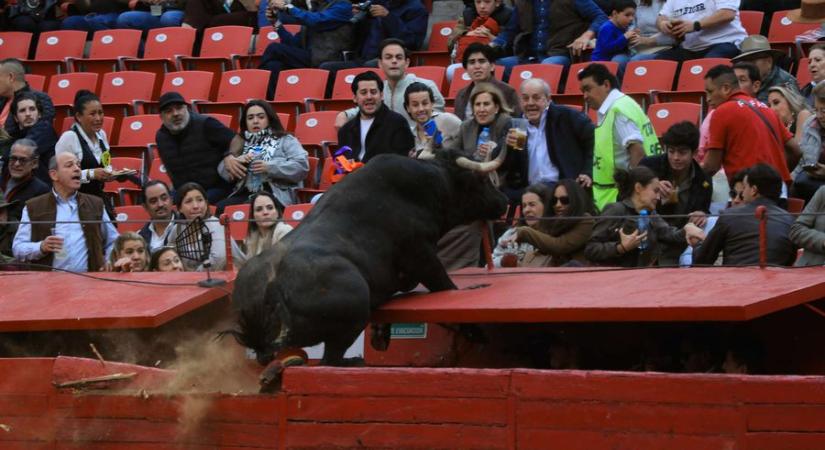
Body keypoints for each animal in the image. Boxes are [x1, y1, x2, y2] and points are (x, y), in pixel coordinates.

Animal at [227, 152, 508, 376]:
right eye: (482, 180)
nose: (504, 202)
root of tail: (272, 286)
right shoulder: (422, 255)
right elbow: (447, 287)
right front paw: (477, 332)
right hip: (351, 318)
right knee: (330, 361)